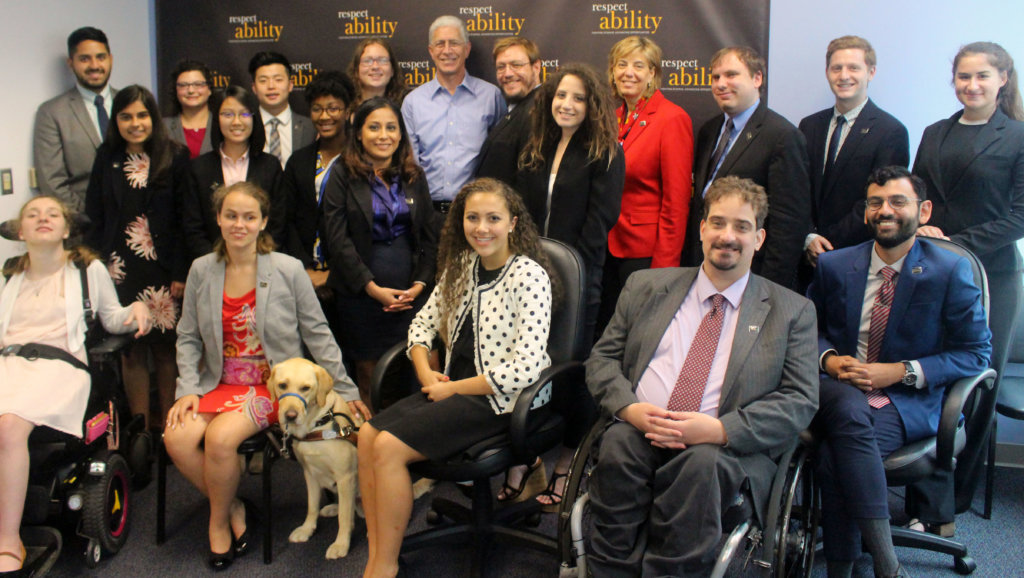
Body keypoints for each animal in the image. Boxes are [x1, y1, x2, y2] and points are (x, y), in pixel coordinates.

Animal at [268, 358, 360, 557]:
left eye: (306, 388)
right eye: (282, 385)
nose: (290, 416)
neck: (315, 426)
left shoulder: (345, 476)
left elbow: (344, 516)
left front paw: (341, 544)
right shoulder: (309, 473)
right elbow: (312, 506)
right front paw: (307, 529)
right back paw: (333, 507)